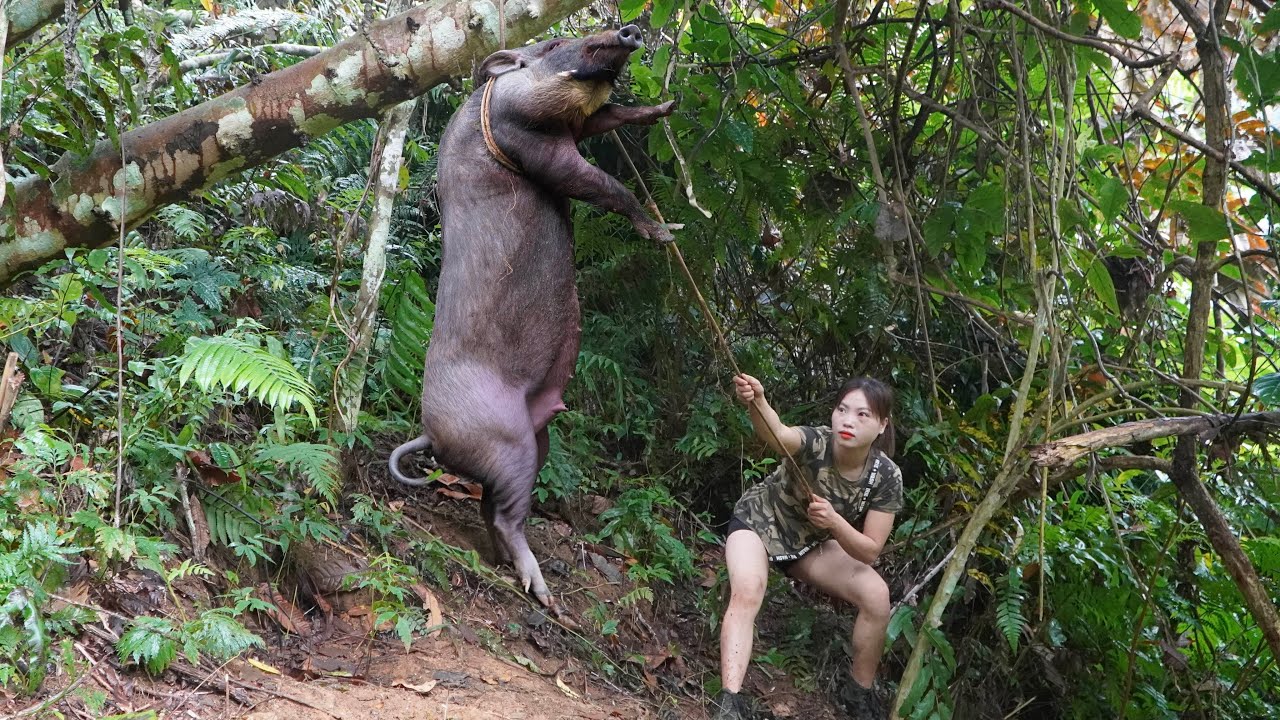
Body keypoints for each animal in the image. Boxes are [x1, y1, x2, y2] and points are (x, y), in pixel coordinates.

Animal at [388, 25, 675, 610]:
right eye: (554, 45)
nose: (628, 29)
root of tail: (430, 434)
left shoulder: (577, 125)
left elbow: (611, 115)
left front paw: (667, 105)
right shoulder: (530, 139)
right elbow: (602, 187)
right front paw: (665, 233)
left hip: (535, 439)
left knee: (489, 506)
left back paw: (510, 568)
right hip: (508, 441)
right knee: (504, 514)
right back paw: (542, 592)